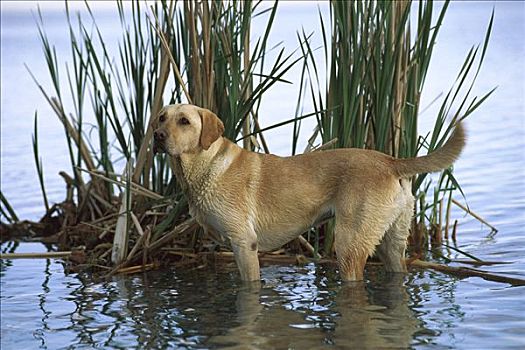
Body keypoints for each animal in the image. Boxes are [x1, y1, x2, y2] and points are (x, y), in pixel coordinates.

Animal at [154, 103, 464, 282]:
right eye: (161, 118)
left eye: (184, 121)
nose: (157, 136)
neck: (203, 166)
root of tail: (390, 161)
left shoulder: (244, 244)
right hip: (391, 244)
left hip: (349, 246)